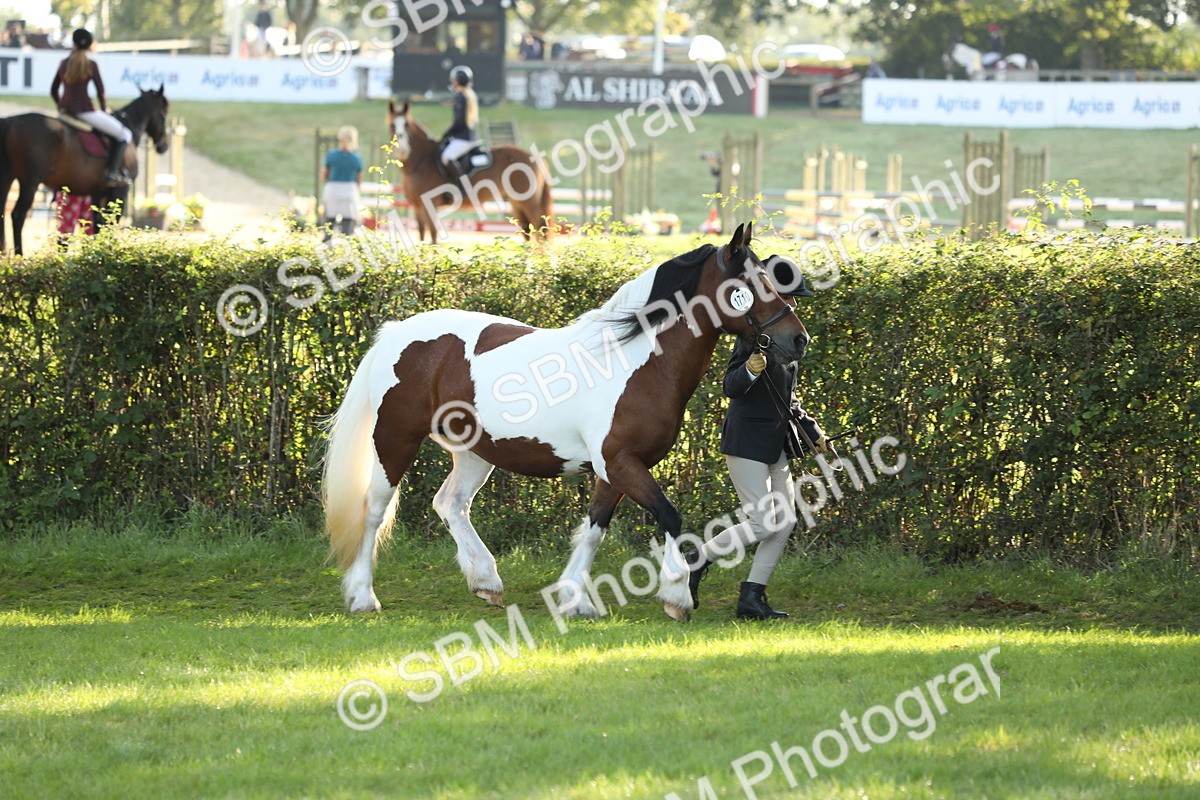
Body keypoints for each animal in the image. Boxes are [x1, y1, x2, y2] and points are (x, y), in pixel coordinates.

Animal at [0, 86, 170, 255]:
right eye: (163, 115)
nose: (164, 146)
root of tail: (11, 120)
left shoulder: (97, 193)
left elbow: (98, 224)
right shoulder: (120, 190)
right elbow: (111, 223)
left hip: (7, 178)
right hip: (30, 181)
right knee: (18, 215)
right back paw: (19, 256)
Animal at [322, 222, 811, 621]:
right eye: (751, 282)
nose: (797, 340)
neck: (634, 360)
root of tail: (396, 333)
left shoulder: (614, 470)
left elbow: (595, 530)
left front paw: (575, 600)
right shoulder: (620, 462)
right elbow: (670, 516)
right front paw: (677, 596)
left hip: (476, 451)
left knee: (451, 504)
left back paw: (486, 581)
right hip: (395, 438)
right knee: (374, 510)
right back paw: (363, 597)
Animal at [386, 99, 554, 244]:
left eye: (406, 125)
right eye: (392, 125)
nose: (402, 150)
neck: (422, 160)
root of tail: (536, 158)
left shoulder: (430, 204)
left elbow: (432, 234)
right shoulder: (417, 205)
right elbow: (421, 233)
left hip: (529, 202)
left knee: (540, 229)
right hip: (517, 203)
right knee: (527, 231)